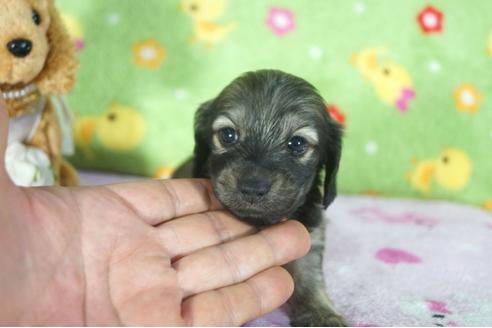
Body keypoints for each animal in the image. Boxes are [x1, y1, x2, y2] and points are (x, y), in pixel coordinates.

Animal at [175, 69, 344, 326]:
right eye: (228, 135)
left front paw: (321, 313)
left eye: (297, 143)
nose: (253, 188)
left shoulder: (311, 234)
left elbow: (309, 276)